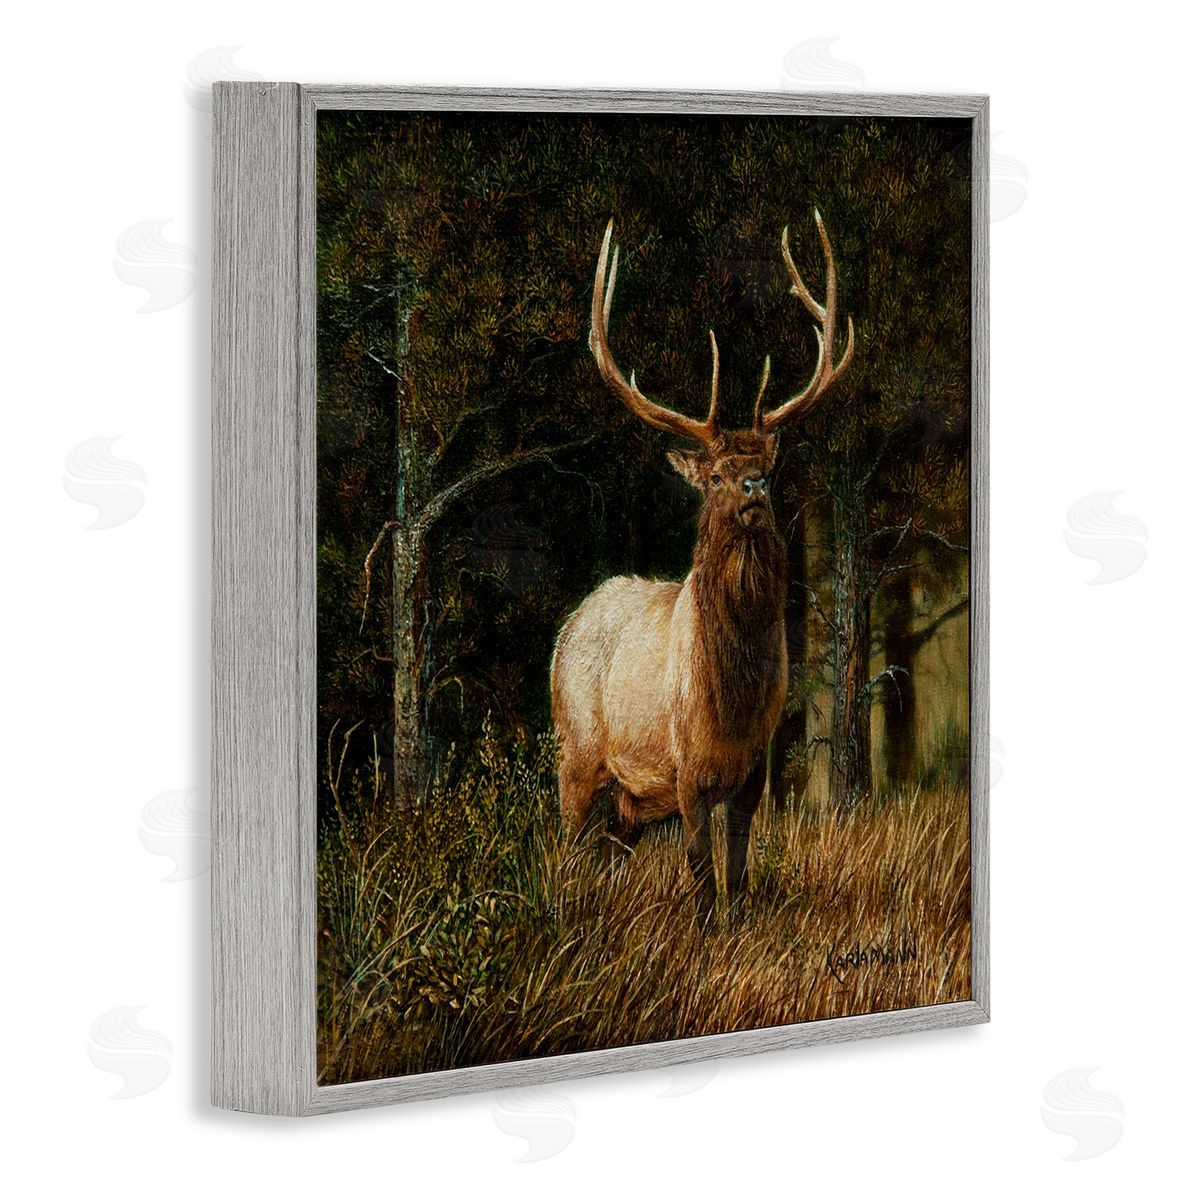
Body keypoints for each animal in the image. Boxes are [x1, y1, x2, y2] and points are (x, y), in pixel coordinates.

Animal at [550, 210, 854, 924]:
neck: (731, 699)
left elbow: (737, 873)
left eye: (768, 465)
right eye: (715, 474)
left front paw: (737, 928)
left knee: (610, 853)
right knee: (563, 846)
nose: (752, 487)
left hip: (630, 801)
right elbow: (698, 869)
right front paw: (703, 932)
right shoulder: (685, 767)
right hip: (576, 750)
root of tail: (568, 626)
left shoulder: (754, 769)